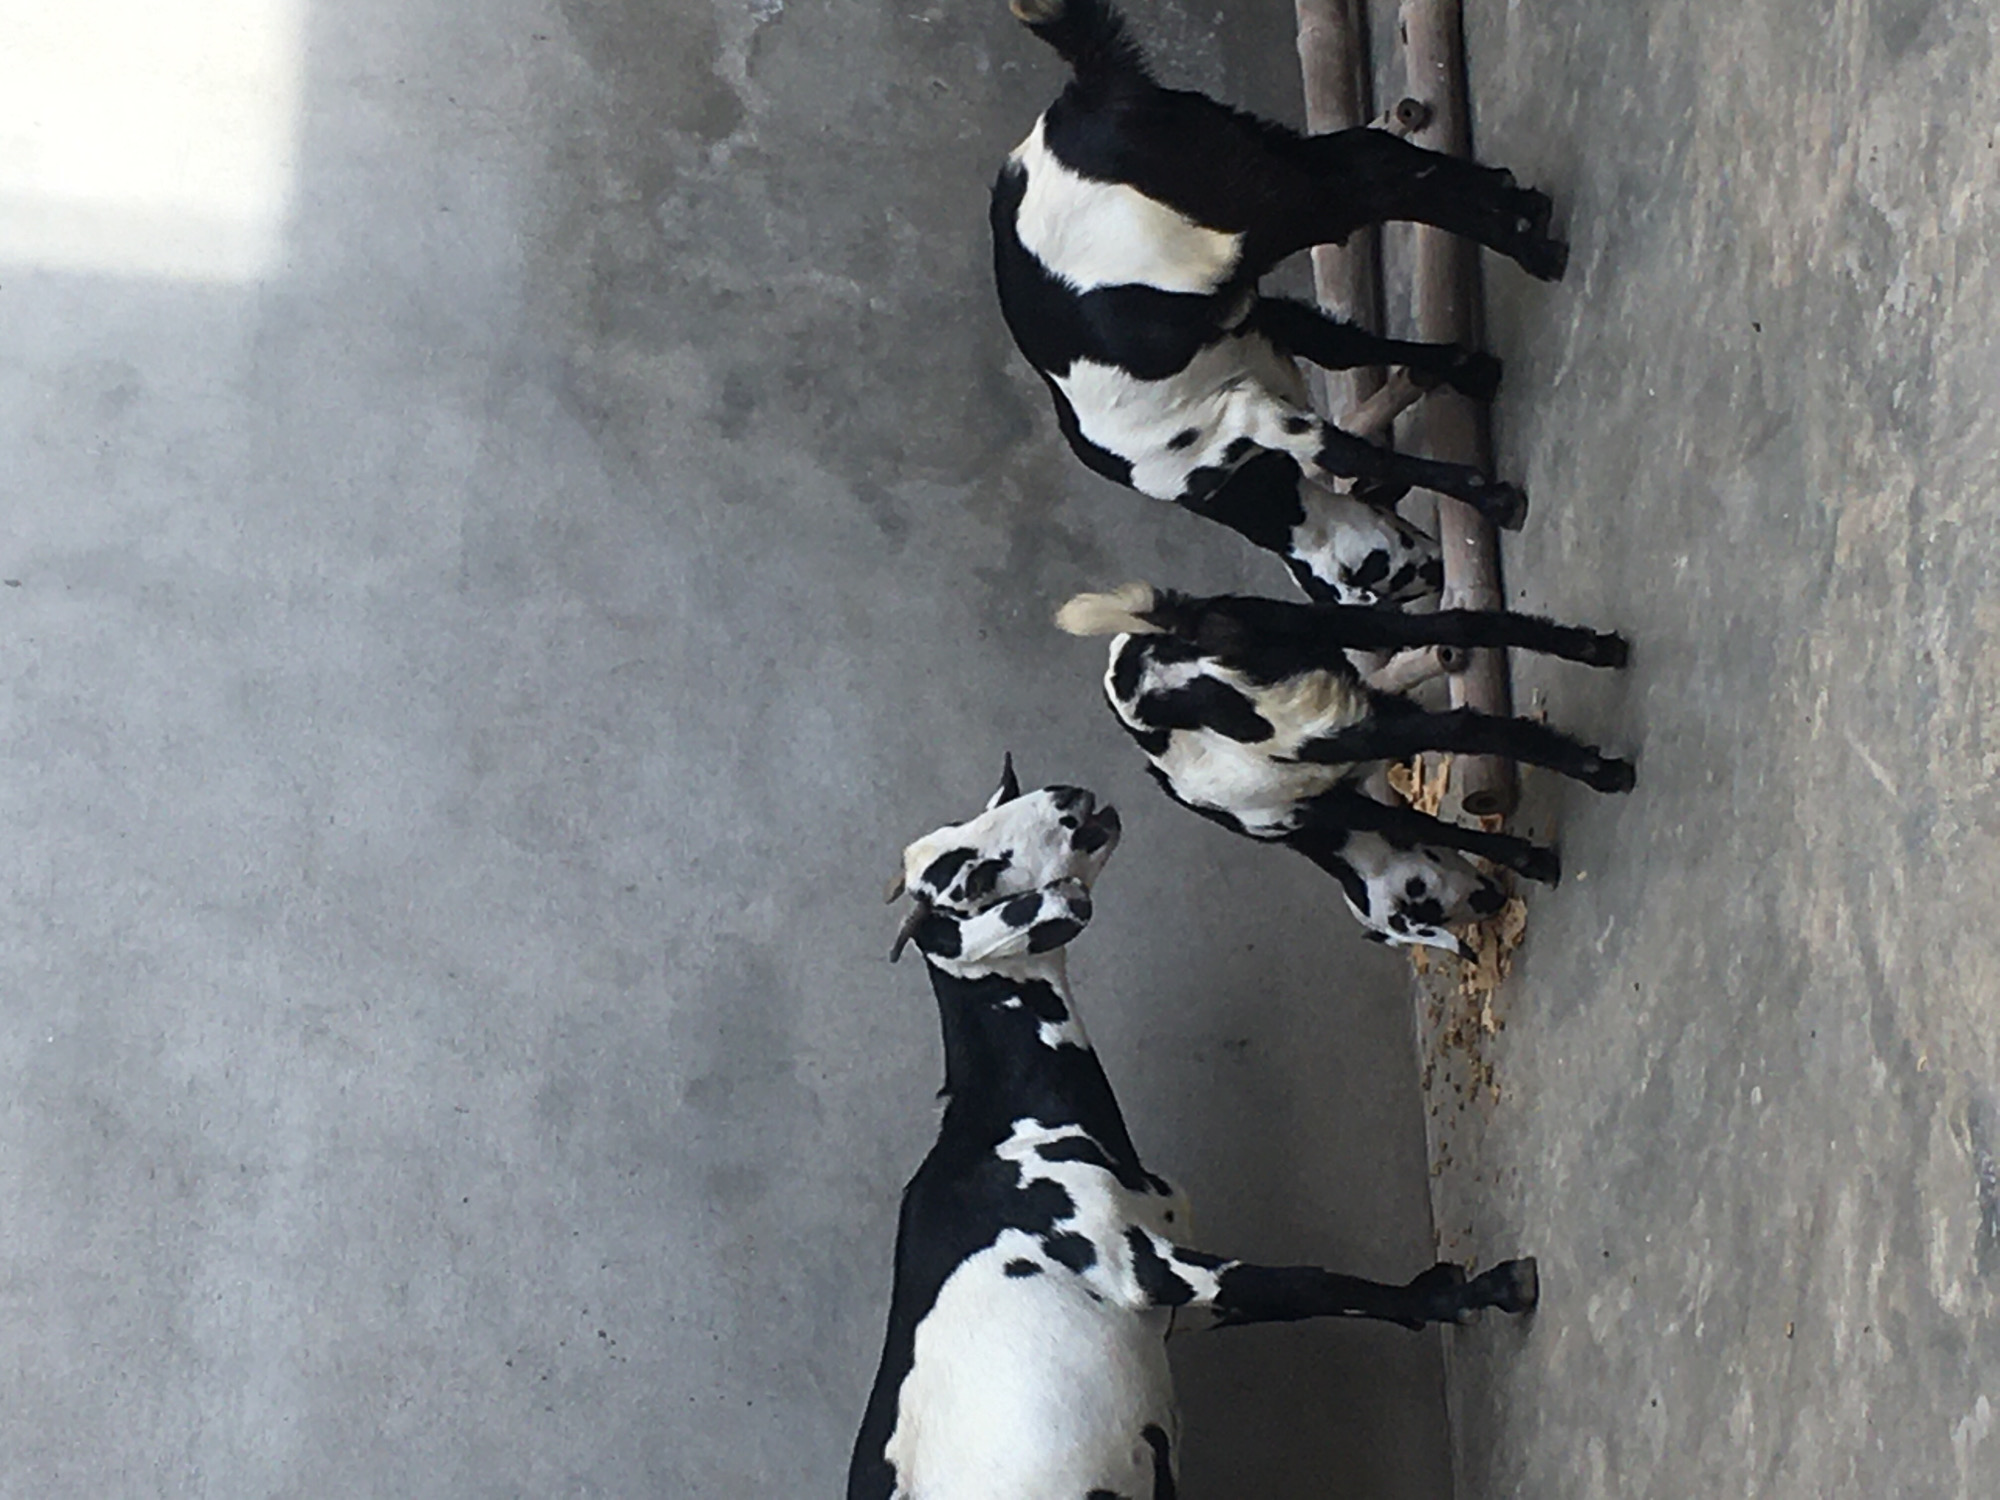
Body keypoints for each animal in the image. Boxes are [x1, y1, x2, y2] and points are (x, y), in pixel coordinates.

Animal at [851, 756, 1539, 1499]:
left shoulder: (1176, 1307)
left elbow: (1309, 1297)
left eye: (989, 806)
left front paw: (1442, 1295)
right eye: (973, 879)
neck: (1006, 1131)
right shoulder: (1144, 1266)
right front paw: (1492, 1289)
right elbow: (1313, 1284)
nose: (1067, 797)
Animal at [992, 0, 1567, 548]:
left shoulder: (1240, 417)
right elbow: (1340, 347)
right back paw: (1523, 206)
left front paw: (1494, 498)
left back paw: (1530, 244)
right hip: (1241, 147)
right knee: (1369, 155)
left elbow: (1349, 453)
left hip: (1245, 210)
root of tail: (1090, 88)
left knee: (1369, 189)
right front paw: (1469, 369)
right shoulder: (1252, 322)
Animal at [1056, 585, 1634, 915]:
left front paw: (1531, 860)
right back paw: (1600, 649)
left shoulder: (1338, 792)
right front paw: (1528, 858)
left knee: (1468, 727)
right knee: (1456, 625)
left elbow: (1420, 824)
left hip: (1321, 719)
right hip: (1312, 624)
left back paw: (1606, 772)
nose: (1490, 906)